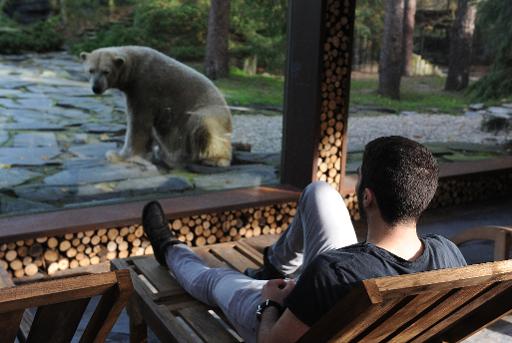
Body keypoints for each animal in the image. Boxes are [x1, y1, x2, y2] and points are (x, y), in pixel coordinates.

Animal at [80, 45, 232, 168]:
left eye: (106, 71)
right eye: (91, 70)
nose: (96, 88)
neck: (135, 67)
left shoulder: (145, 87)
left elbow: (138, 123)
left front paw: (117, 155)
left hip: (211, 111)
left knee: (201, 122)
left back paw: (215, 159)